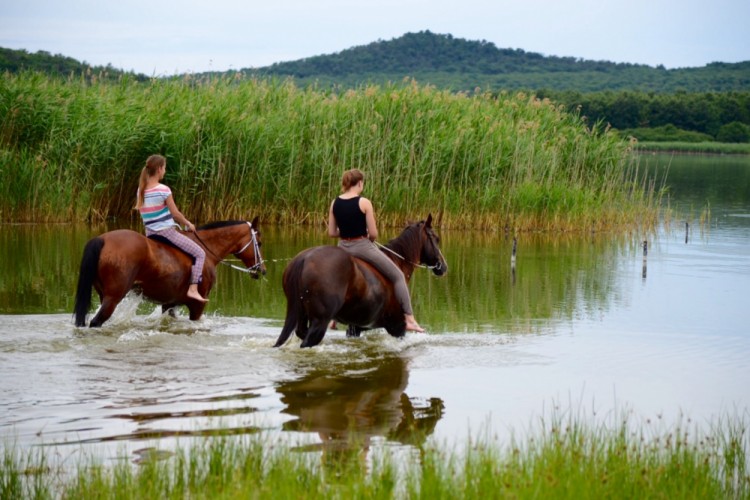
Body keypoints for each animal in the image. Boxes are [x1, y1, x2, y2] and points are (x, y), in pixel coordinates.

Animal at [73, 216, 266, 326]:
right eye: (259, 243)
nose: (262, 270)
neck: (207, 249)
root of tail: (101, 239)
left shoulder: (169, 303)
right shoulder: (198, 305)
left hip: (103, 295)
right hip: (113, 298)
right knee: (96, 322)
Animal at [278, 214, 450, 348]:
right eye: (436, 239)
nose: (443, 267)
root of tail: (304, 259)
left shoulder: (355, 327)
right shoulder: (397, 326)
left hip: (301, 316)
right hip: (320, 321)